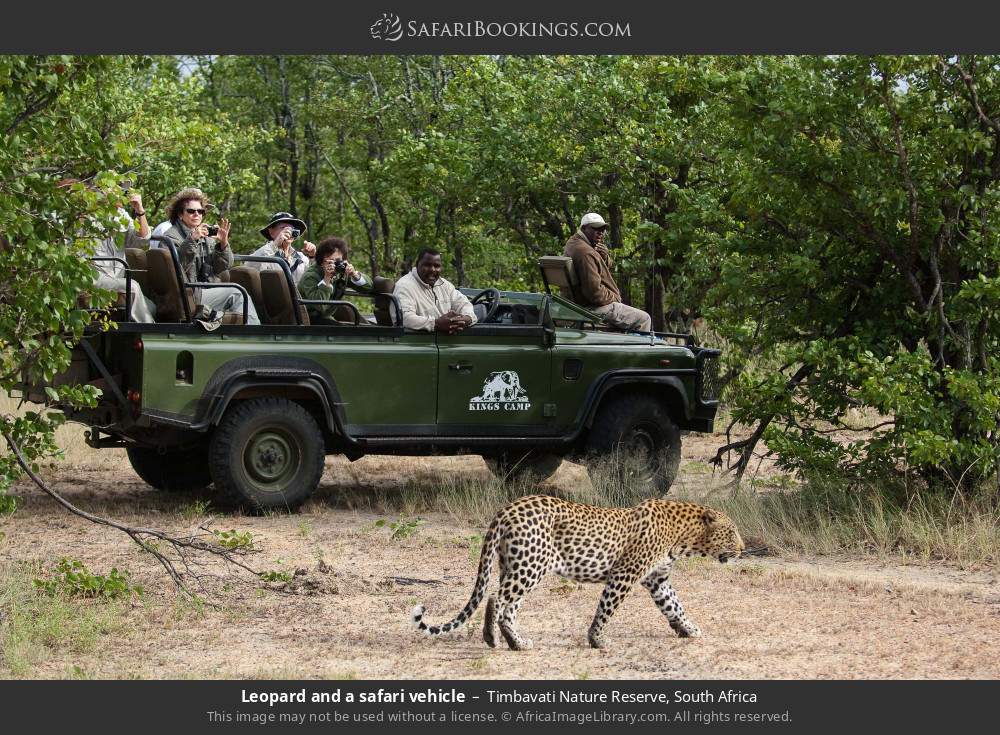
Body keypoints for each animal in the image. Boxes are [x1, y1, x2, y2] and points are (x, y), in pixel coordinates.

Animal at [411, 494, 745, 650]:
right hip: (530, 567)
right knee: (497, 598)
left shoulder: (657, 580)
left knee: (507, 605)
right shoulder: (624, 574)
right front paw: (597, 640)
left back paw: (512, 641)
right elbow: (606, 609)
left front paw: (690, 629)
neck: (684, 536)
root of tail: (506, 509)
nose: (742, 549)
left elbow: (675, 606)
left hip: (514, 564)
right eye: (731, 532)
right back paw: (499, 640)